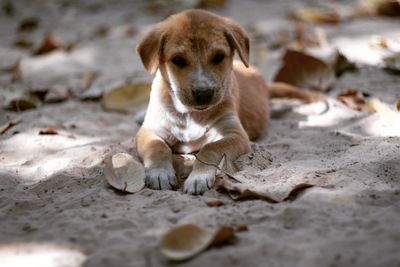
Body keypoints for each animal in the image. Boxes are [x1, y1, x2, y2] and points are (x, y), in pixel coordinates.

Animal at [137, 9, 312, 196]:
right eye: (178, 60)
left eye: (218, 57)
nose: (203, 93)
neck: (191, 114)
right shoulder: (150, 130)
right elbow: (157, 146)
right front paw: (159, 172)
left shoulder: (235, 134)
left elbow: (210, 148)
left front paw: (198, 177)